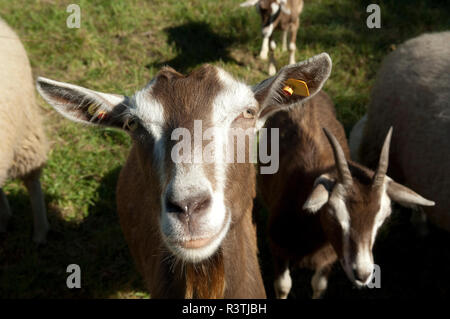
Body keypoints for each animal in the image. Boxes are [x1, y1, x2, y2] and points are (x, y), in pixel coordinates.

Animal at [258, 91, 434, 298]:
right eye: (332, 213)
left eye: (383, 217)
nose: (363, 274)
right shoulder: (278, 250)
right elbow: (283, 286)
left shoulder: (328, 258)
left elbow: (319, 285)